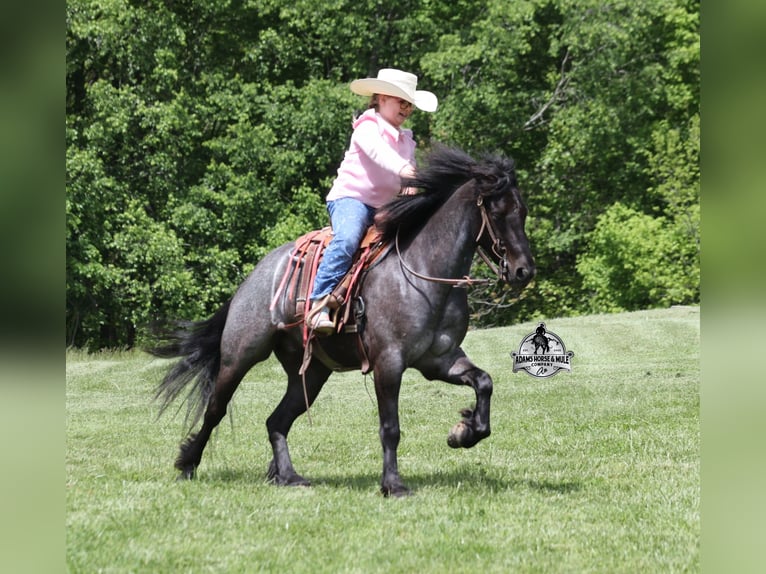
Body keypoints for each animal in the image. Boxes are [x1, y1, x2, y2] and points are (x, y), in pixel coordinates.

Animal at [150, 146, 535, 497]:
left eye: (523, 211)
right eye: (497, 212)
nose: (524, 271)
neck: (423, 270)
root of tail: (254, 278)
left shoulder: (439, 359)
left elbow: (484, 382)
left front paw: (463, 432)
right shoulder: (389, 363)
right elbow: (390, 427)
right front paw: (393, 485)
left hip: (311, 374)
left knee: (276, 420)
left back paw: (287, 476)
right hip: (240, 356)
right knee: (215, 409)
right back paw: (188, 465)